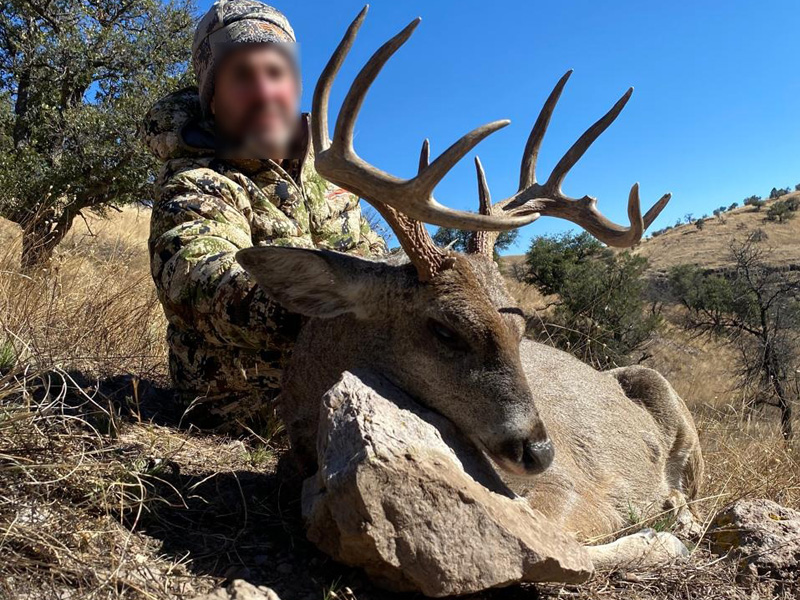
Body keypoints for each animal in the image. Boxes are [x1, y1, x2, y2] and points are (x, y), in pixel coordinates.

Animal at [235, 7, 704, 567]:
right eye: (445, 330)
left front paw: (667, 536)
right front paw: (663, 538)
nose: (540, 451)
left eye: (520, 330)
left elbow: (581, 549)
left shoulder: (578, 495)